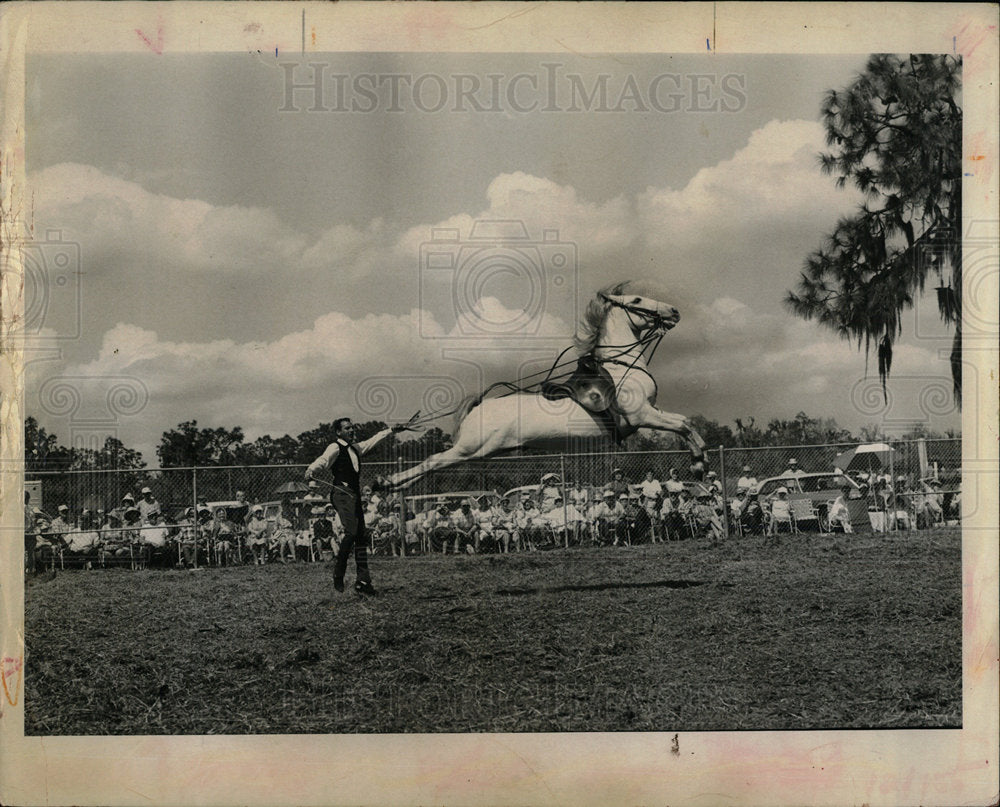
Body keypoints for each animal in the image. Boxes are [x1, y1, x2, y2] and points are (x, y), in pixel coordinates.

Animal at [386, 280, 708, 490]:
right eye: (637, 301)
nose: (673, 311)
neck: (621, 367)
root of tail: (480, 404)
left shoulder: (653, 413)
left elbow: (686, 423)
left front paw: (700, 462)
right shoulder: (641, 415)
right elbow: (684, 426)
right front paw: (697, 463)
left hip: (481, 451)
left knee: (434, 464)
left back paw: (392, 486)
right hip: (471, 447)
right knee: (432, 460)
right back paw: (387, 481)